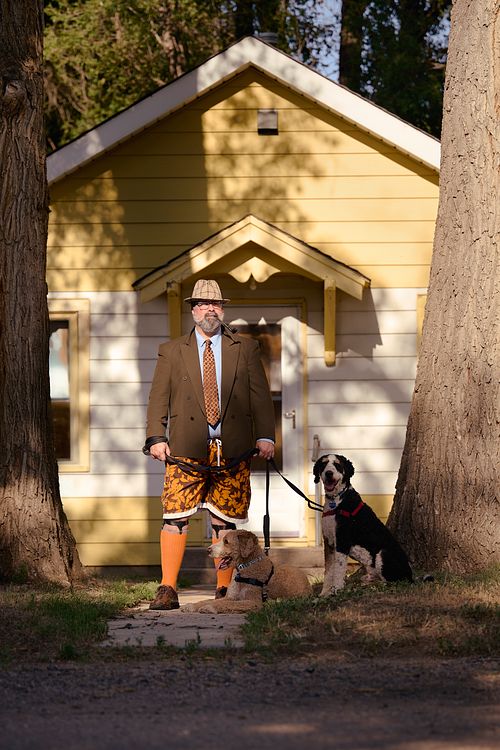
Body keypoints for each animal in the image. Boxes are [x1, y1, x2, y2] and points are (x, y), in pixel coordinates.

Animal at [182, 529, 312, 614]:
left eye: (226, 541)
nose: (208, 550)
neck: (244, 568)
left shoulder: (253, 602)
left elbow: (228, 604)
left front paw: (209, 608)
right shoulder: (230, 596)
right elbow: (210, 600)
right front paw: (192, 605)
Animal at [313, 454, 413, 595]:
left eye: (337, 464)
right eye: (323, 464)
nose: (328, 473)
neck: (337, 500)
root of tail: (411, 575)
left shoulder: (342, 541)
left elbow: (338, 570)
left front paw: (336, 590)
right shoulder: (329, 542)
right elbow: (328, 571)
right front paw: (324, 593)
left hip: (383, 553)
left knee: (392, 581)